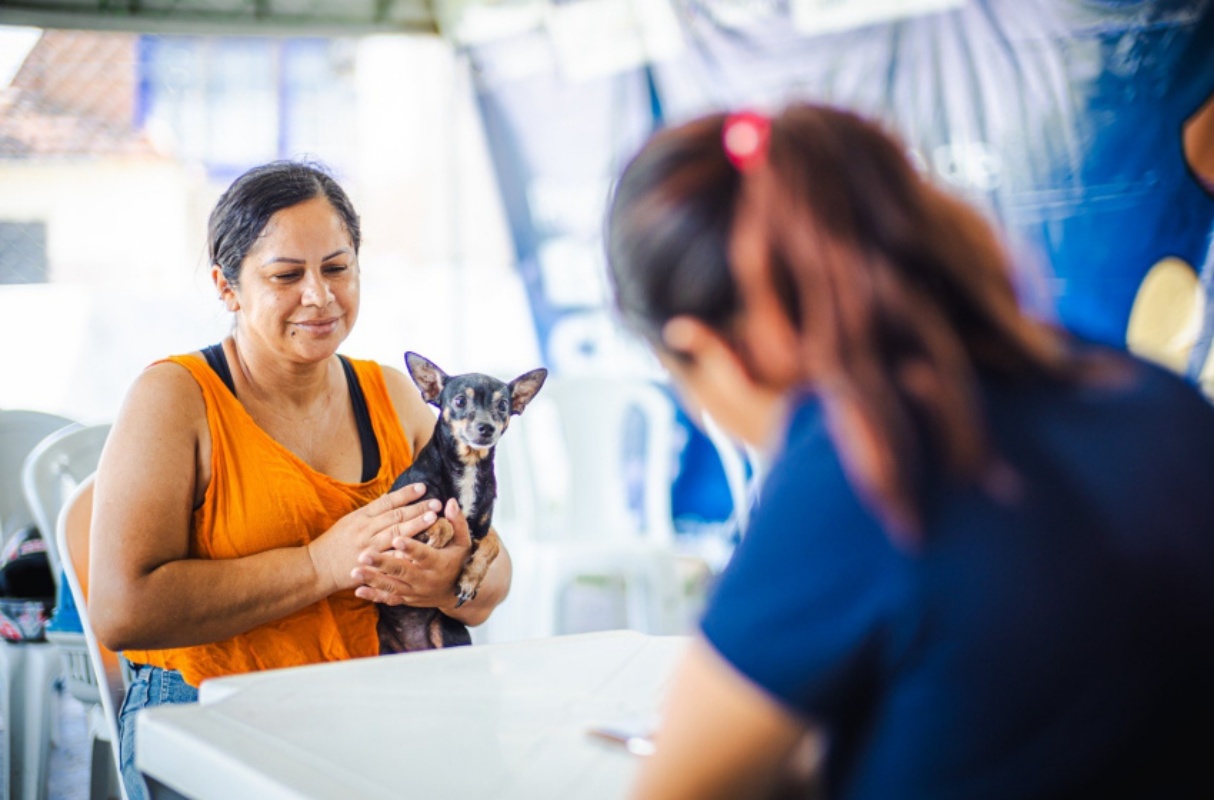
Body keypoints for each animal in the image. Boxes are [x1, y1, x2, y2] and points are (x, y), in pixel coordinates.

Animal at [376, 354, 548, 655]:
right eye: (459, 401)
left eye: (503, 406)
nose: (486, 427)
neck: (467, 466)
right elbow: (441, 521)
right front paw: (433, 537)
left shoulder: (480, 530)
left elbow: (491, 545)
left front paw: (470, 579)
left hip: (448, 633)